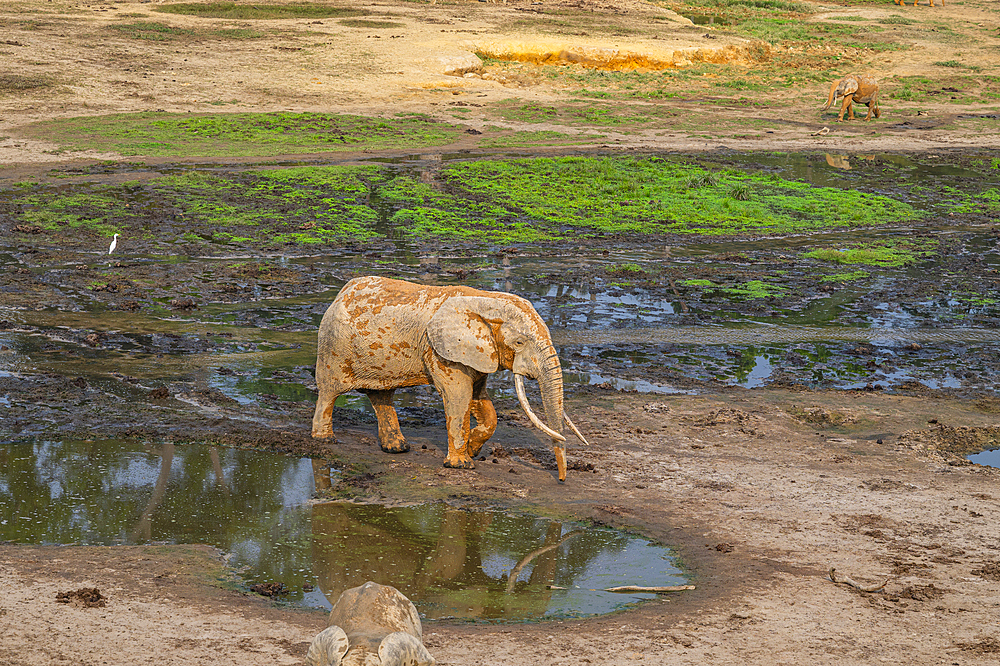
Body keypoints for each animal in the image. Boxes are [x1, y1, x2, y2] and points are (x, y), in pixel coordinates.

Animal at [308, 272, 584, 480]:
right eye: (519, 342)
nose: (561, 480)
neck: (485, 300)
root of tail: (340, 293)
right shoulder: (441, 351)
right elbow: (459, 396)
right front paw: (462, 465)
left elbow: (481, 401)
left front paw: (473, 449)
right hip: (333, 345)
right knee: (330, 391)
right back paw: (325, 439)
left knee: (381, 395)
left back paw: (397, 449)